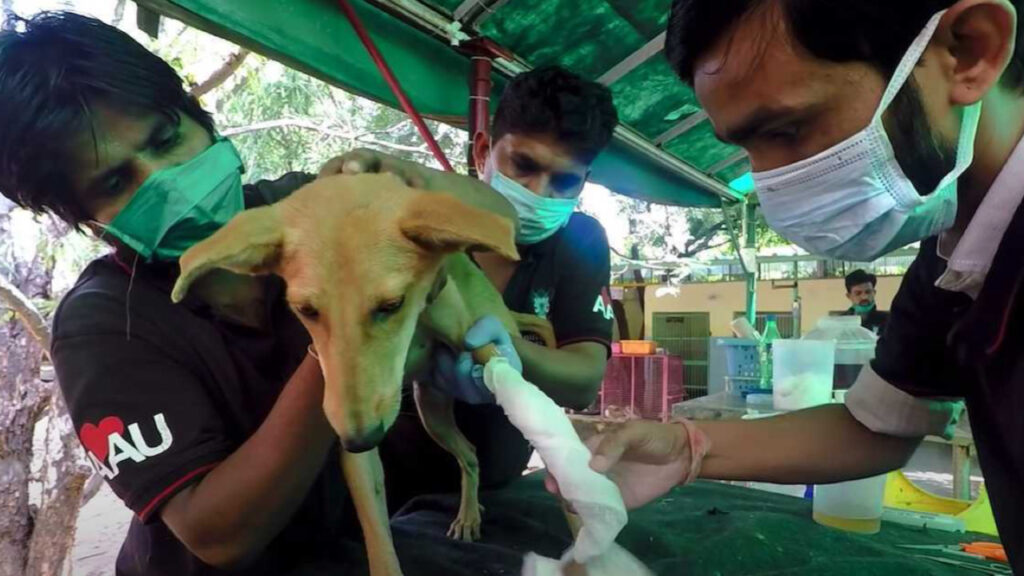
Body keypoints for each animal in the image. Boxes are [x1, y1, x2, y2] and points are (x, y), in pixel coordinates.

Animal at [169, 174, 528, 573]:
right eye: (306, 310)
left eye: (392, 305)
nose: (361, 439)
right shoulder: (353, 449)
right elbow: (377, 537)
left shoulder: (470, 334)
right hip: (431, 414)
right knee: (469, 453)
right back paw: (468, 513)